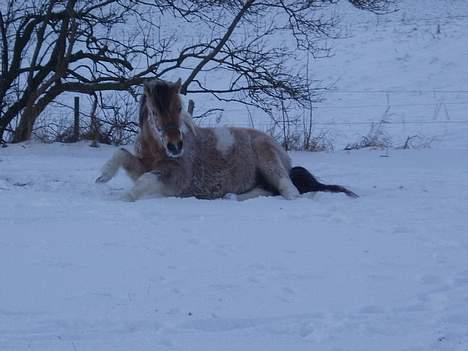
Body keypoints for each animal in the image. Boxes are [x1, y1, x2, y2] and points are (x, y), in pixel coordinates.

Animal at [96, 78, 358, 202]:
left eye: (180, 107)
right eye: (153, 112)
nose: (175, 146)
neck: (158, 150)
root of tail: (285, 157)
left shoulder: (175, 178)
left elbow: (146, 180)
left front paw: (123, 198)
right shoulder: (142, 166)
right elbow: (121, 154)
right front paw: (102, 177)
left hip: (269, 162)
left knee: (288, 191)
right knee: (267, 190)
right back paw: (231, 196)